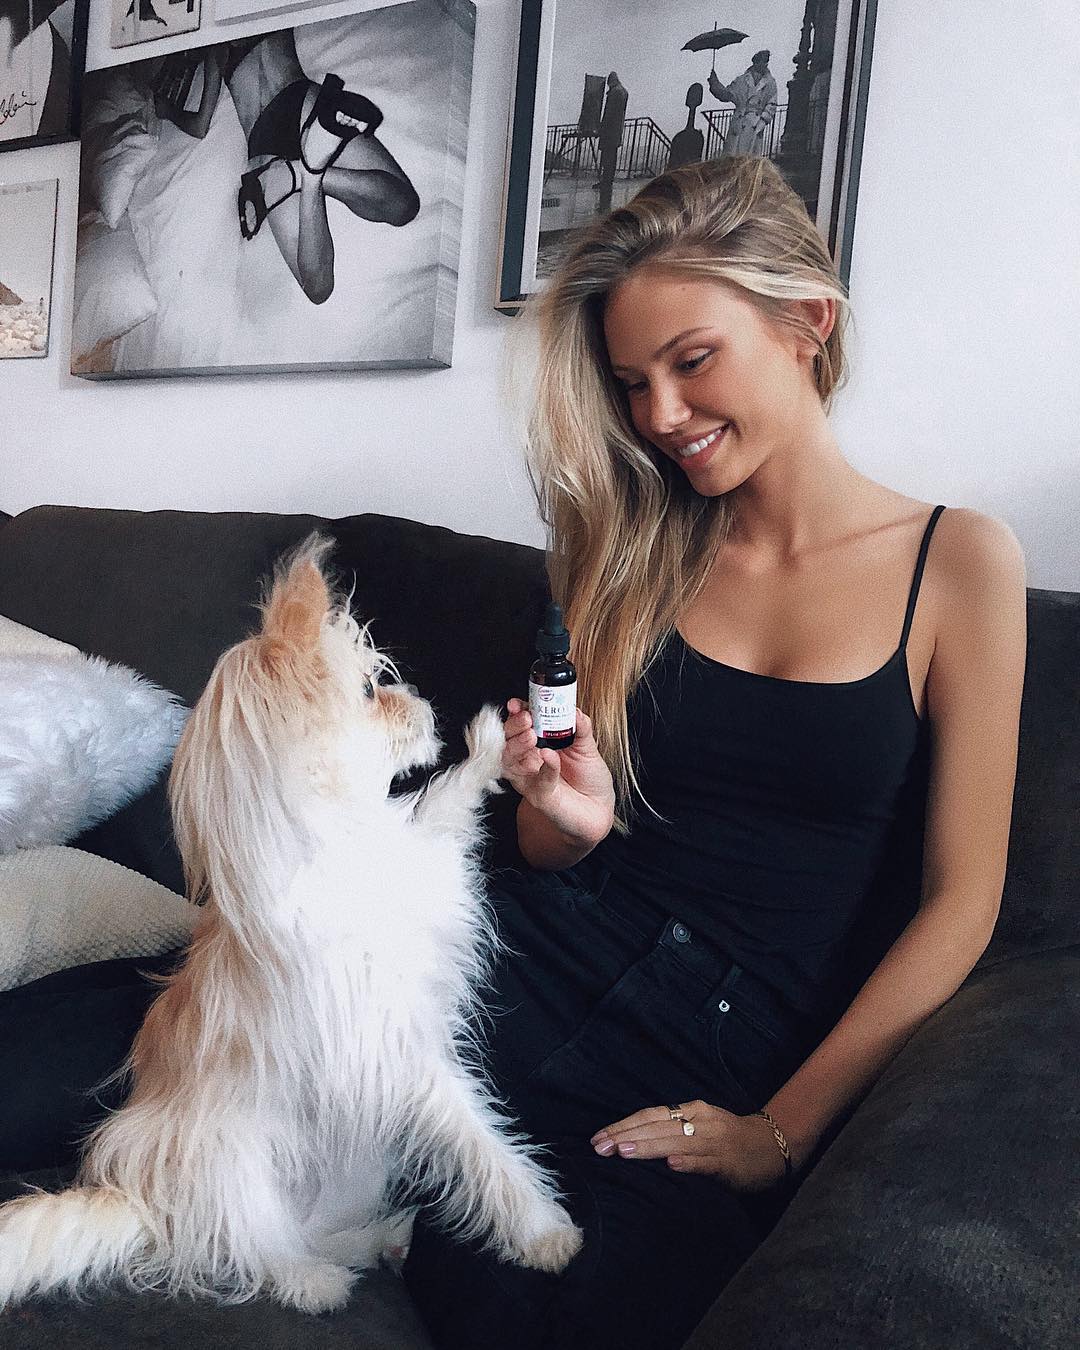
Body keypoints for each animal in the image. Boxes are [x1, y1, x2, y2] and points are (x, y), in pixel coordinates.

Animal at [0, 536, 582, 1313]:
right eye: (369, 691)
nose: (425, 703)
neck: (344, 846)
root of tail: (143, 1203)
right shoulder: (403, 1058)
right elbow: (479, 1141)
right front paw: (542, 1229)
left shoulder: (421, 858)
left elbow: (444, 799)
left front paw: (498, 744)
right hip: (233, 1169)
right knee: (251, 1249)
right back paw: (317, 1283)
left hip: (353, 1167)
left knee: (309, 1230)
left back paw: (380, 1242)